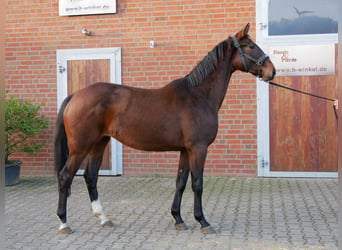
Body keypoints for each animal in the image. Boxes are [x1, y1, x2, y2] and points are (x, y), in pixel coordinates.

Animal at [54, 23, 276, 234]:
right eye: (251, 46)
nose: (271, 71)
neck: (198, 96)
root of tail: (76, 95)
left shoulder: (185, 150)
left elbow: (181, 182)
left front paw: (178, 219)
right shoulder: (198, 148)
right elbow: (197, 184)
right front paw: (203, 221)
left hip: (99, 143)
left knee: (90, 176)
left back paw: (103, 218)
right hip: (80, 148)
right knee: (66, 177)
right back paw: (64, 223)